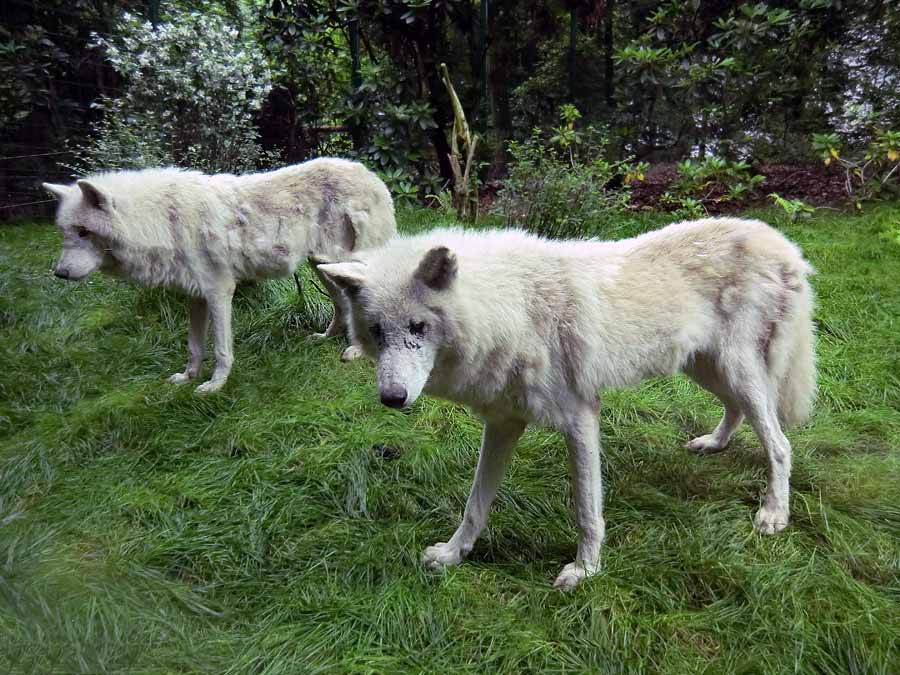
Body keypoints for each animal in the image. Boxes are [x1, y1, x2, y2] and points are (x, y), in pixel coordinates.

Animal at [42, 157, 394, 390]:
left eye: (84, 232)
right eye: (64, 232)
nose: (59, 273)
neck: (163, 220)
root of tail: (371, 175)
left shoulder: (219, 292)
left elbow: (221, 350)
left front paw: (215, 386)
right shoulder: (194, 296)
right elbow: (194, 346)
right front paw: (188, 377)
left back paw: (356, 350)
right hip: (323, 266)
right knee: (342, 305)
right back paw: (328, 338)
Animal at [316, 219, 816, 588]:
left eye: (419, 327)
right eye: (377, 331)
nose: (392, 398)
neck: (509, 306)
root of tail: (781, 242)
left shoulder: (580, 419)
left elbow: (586, 510)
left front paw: (586, 570)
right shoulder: (503, 423)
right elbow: (476, 504)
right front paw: (454, 554)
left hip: (734, 370)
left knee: (780, 444)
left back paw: (774, 513)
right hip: (706, 368)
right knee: (739, 412)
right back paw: (714, 444)